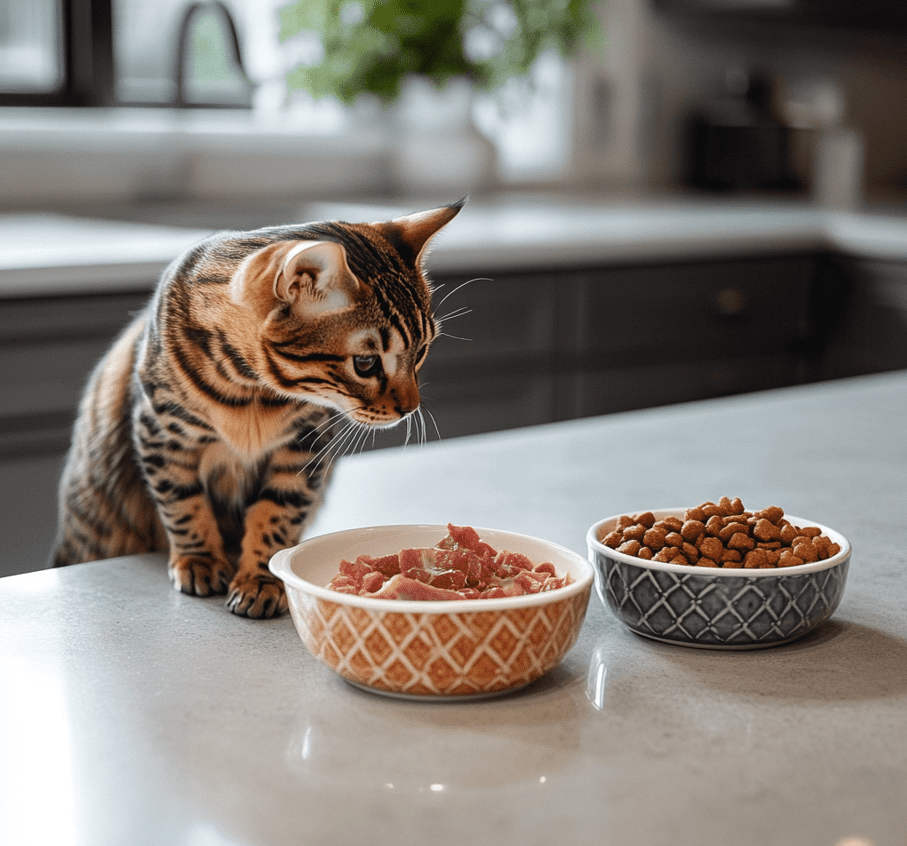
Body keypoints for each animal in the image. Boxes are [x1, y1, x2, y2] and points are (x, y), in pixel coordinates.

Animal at [50, 202, 464, 620]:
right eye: (365, 364)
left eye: (422, 351)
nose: (409, 408)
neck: (253, 393)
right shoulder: (160, 431)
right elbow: (182, 503)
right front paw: (198, 559)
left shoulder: (305, 446)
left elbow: (278, 514)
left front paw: (262, 579)